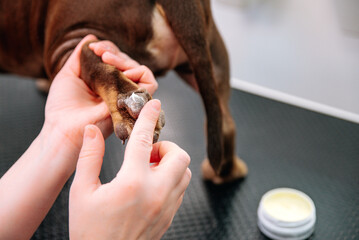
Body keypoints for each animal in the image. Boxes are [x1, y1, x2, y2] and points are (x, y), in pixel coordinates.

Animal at [0, 0, 248, 183]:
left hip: (77, 39)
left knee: (101, 69)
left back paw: (130, 115)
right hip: (212, 52)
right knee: (224, 118)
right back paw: (227, 171)